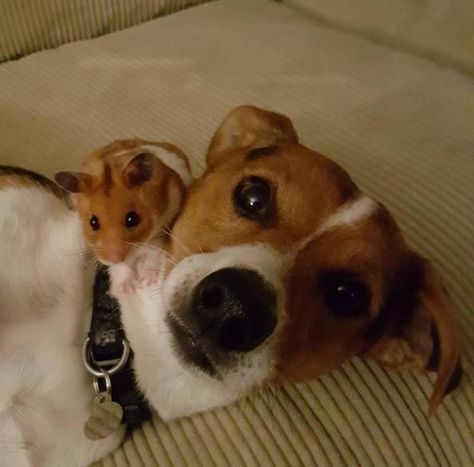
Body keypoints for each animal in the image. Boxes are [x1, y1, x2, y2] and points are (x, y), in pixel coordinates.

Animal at [53, 137, 191, 294]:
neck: (136, 248)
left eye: (132, 219)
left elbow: (152, 256)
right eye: (93, 222)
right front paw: (127, 289)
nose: (114, 258)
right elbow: (123, 266)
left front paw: (146, 282)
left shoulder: (161, 233)